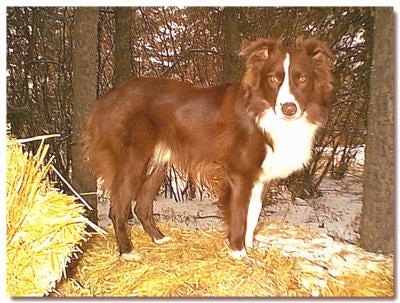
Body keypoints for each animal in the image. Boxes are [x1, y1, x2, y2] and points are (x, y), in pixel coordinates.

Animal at [85, 37, 334, 262]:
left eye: (302, 79)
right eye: (273, 79)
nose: (288, 109)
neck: (263, 111)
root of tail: (106, 98)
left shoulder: (261, 178)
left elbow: (253, 216)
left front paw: (250, 249)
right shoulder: (239, 175)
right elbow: (240, 217)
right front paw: (238, 253)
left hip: (158, 162)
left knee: (142, 206)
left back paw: (159, 239)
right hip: (133, 161)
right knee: (118, 209)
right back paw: (127, 252)